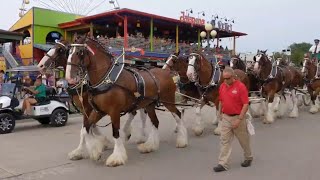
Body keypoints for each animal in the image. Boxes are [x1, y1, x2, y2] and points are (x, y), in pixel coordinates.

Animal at [66, 35, 189, 167]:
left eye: (80, 52)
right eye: (68, 52)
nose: (69, 77)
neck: (106, 79)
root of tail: (165, 72)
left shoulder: (113, 111)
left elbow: (115, 132)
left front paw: (116, 157)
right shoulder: (98, 111)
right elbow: (86, 128)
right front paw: (94, 151)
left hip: (168, 100)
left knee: (178, 114)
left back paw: (182, 140)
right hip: (149, 104)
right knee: (155, 122)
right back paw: (150, 146)